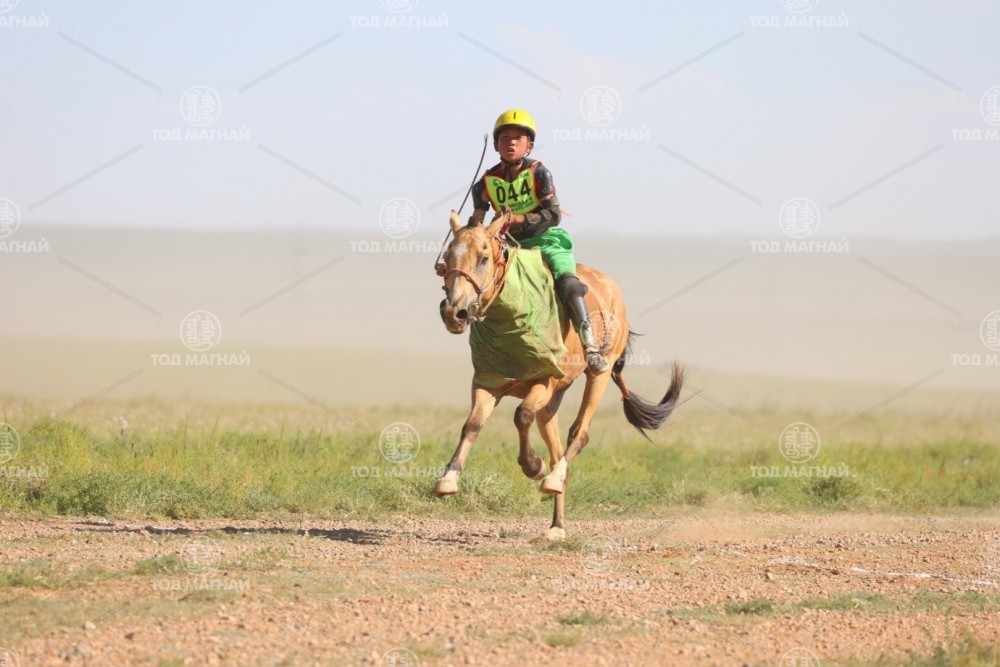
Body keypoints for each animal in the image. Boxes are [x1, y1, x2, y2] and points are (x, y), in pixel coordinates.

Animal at [436, 209, 684, 540]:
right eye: (447, 258)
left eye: (484, 258)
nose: (454, 313)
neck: (511, 316)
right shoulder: (487, 382)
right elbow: (472, 424)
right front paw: (447, 480)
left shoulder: (543, 380)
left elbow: (522, 415)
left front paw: (533, 466)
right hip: (554, 399)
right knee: (555, 447)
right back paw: (556, 524)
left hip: (597, 375)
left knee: (579, 432)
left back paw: (552, 479)